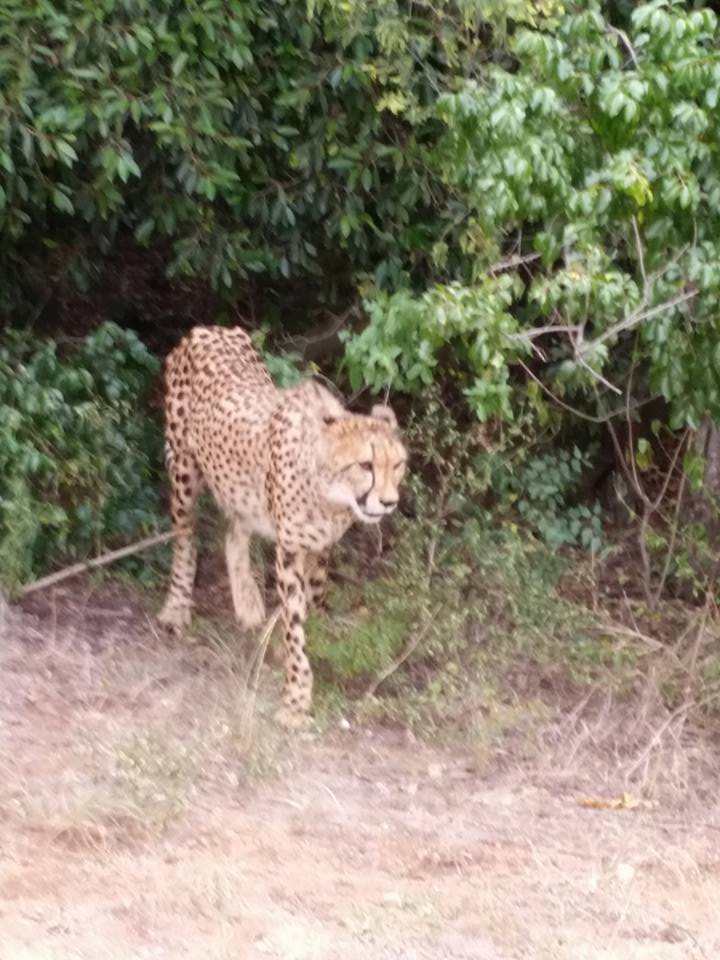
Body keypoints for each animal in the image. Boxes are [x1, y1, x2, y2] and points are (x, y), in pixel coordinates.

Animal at [157, 325, 407, 727]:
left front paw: (321, 634)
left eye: (397, 465)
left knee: (234, 530)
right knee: (184, 538)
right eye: (365, 465)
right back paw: (176, 608)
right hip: (182, 468)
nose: (388, 502)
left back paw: (246, 602)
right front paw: (296, 696)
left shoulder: (318, 545)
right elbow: (294, 625)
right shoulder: (289, 550)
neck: (329, 497)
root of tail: (209, 329)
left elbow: (314, 597)